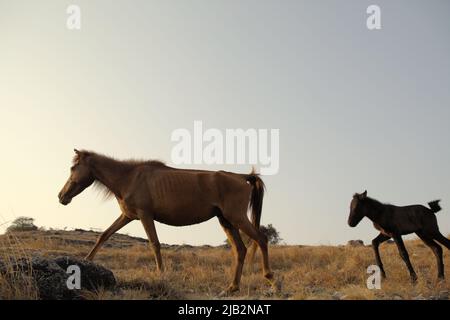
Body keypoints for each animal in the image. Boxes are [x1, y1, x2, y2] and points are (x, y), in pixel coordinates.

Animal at [57, 149, 272, 294]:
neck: (129, 177)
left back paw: (269, 278)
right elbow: (104, 235)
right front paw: (86, 261)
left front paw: (161, 274)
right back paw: (232, 287)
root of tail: (242, 177)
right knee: (241, 250)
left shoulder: (145, 215)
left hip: (237, 218)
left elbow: (155, 244)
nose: (61, 196)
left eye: (73, 167)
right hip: (226, 221)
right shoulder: (128, 216)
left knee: (262, 239)